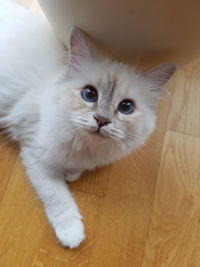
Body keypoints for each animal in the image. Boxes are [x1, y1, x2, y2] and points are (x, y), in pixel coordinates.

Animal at [0, 0, 177, 249]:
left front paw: (71, 174)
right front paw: (72, 234)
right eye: (89, 94)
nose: (101, 120)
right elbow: (59, 198)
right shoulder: (36, 155)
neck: (86, 148)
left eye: (126, 107)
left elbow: (75, 171)